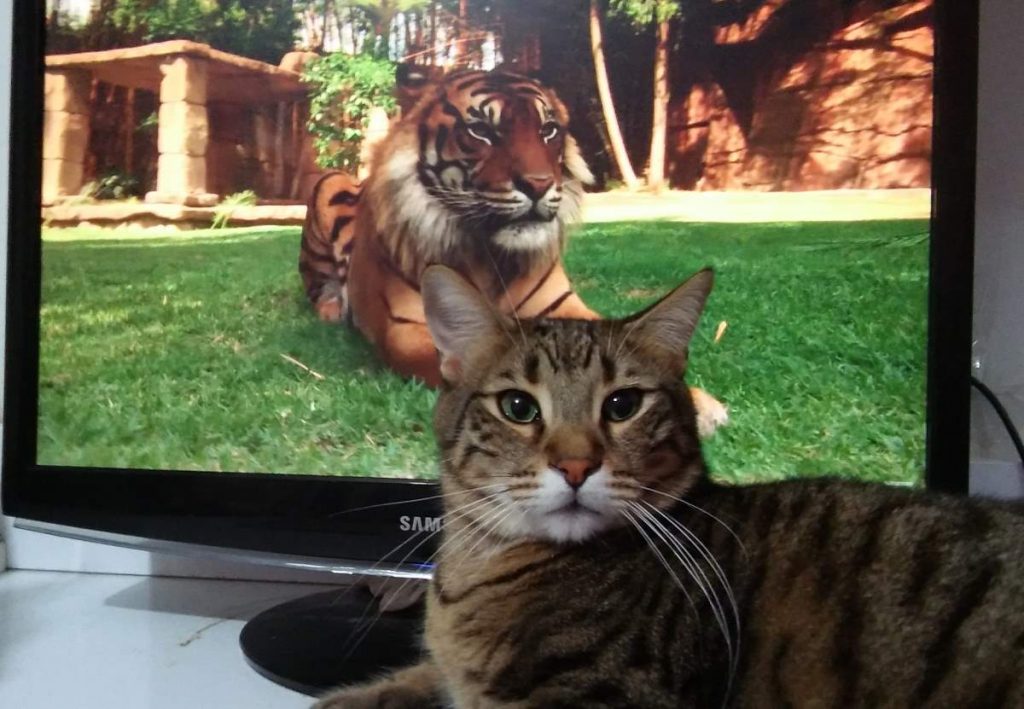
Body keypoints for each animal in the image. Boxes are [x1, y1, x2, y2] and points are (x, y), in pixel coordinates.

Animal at [298, 65, 729, 435]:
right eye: (481, 131)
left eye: (548, 130)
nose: (539, 184)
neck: (493, 258)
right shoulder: (405, 329)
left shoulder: (564, 307)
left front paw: (698, 405)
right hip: (328, 187)